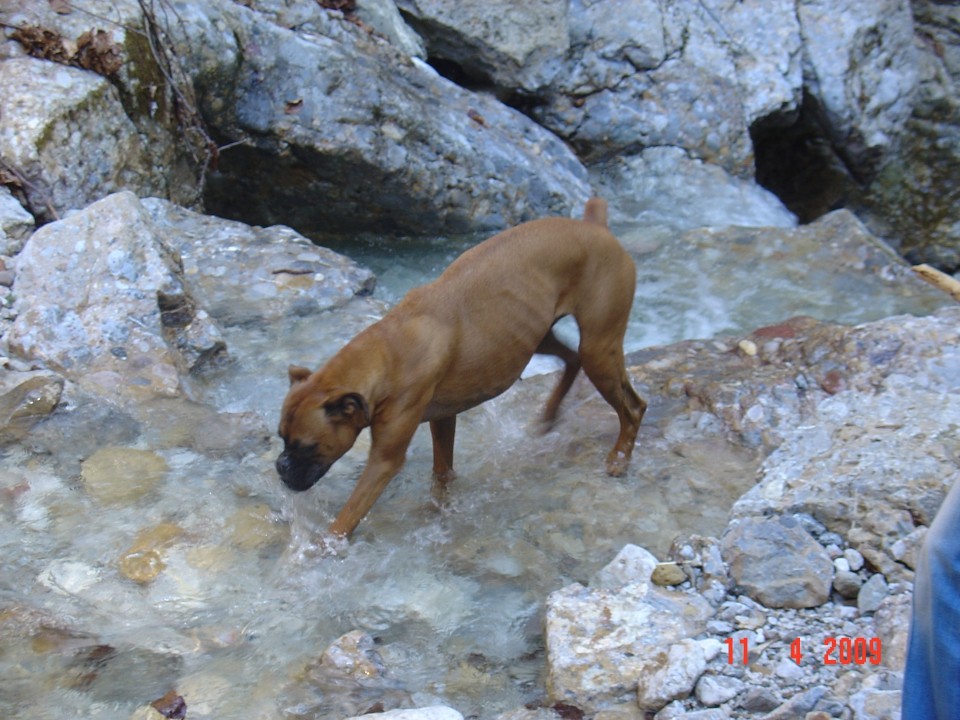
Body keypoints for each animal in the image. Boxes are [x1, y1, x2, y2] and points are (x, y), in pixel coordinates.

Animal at [282, 200, 648, 536]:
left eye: (306, 446)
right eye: (282, 440)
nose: (280, 467)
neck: (388, 352)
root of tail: (596, 227)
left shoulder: (384, 461)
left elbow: (348, 516)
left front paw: (324, 548)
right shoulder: (443, 417)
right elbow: (442, 470)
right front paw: (440, 508)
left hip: (599, 349)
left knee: (633, 407)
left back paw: (619, 459)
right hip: (536, 335)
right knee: (572, 359)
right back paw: (548, 416)